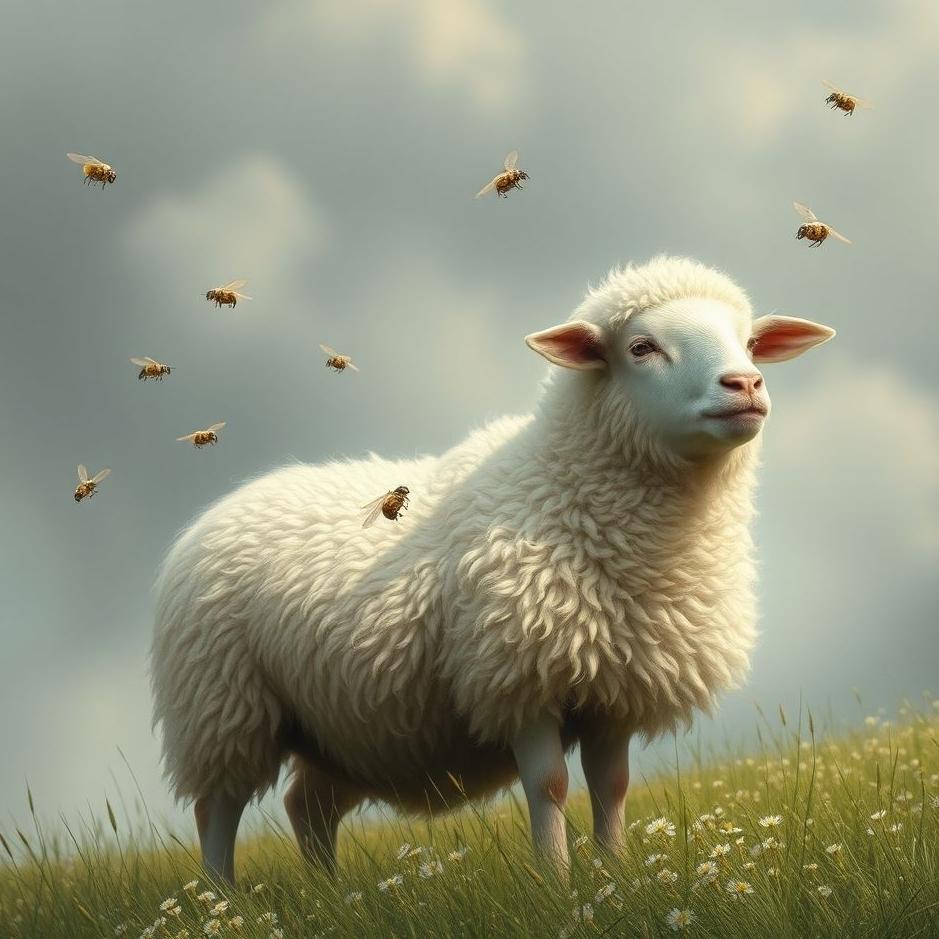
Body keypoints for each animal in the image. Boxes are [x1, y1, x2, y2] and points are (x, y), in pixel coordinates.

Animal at [150, 255, 835, 882]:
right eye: (641, 347)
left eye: (750, 341)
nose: (744, 385)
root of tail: (216, 512)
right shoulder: (519, 674)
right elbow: (552, 786)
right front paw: (556, 883)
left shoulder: (615, 685)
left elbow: (611, 787)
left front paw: (616, 876)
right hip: (221, 708)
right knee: (217, 813)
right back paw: (226, 904)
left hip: (335, 726)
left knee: (307, 807)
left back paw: (330, 897)